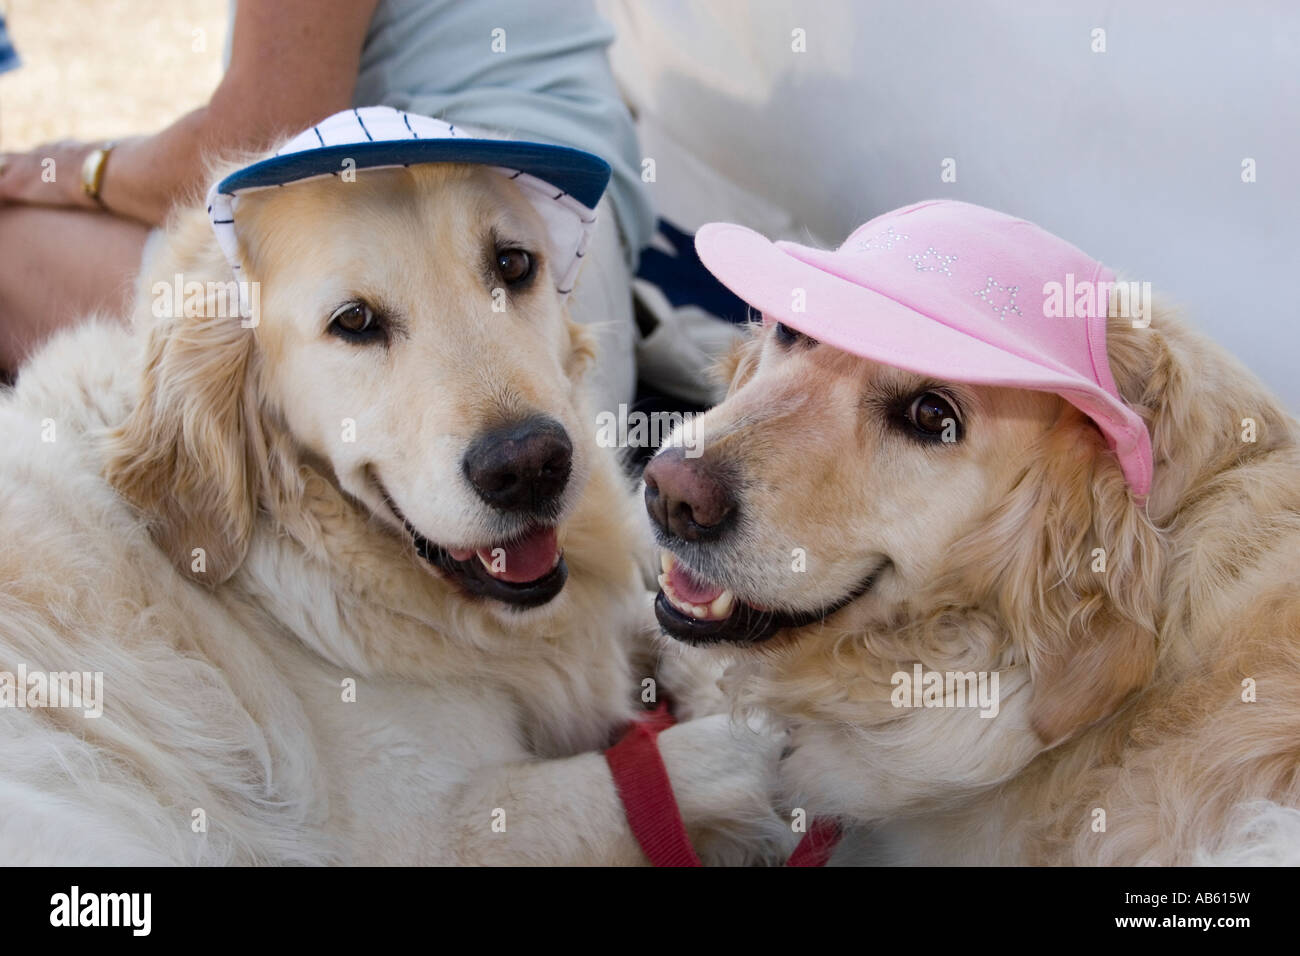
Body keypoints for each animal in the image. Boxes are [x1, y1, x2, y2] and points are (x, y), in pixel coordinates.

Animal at [0, 162, 780, 868]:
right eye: (354, 322)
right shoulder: (426, 834)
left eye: (513, 264)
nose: (530, 466)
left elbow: (675, 622)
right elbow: (720, 757)